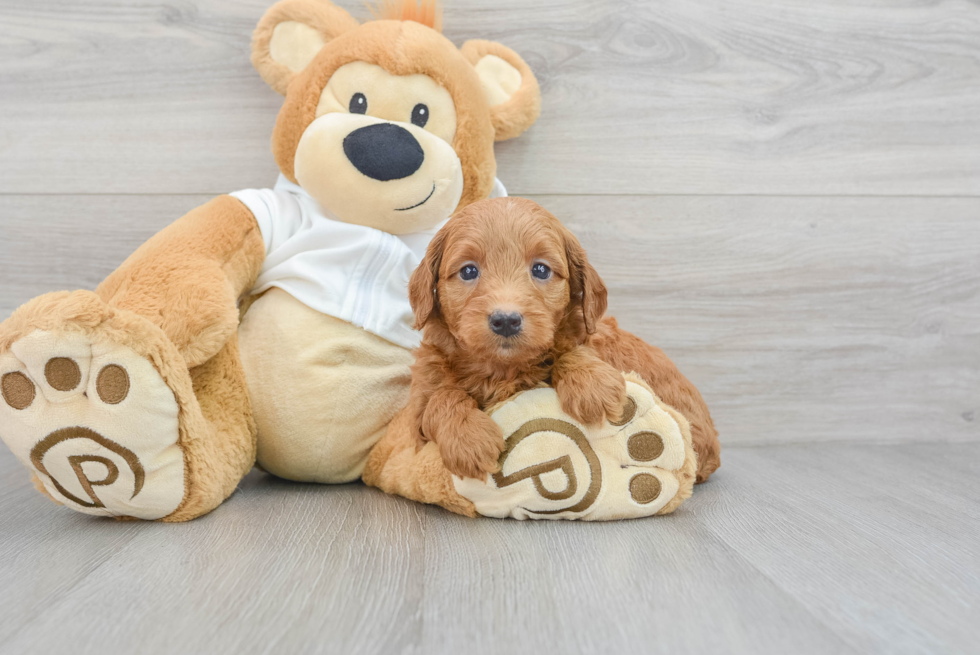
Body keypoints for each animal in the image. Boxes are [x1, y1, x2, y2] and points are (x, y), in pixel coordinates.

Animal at [406, 196, 720, 482]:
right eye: (469, 270)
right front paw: (467, 438)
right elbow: (441, 397)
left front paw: (591, 384)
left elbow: (570, 351)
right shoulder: (418, 414)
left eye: (541, 269)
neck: (500, 370)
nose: (506, 320)